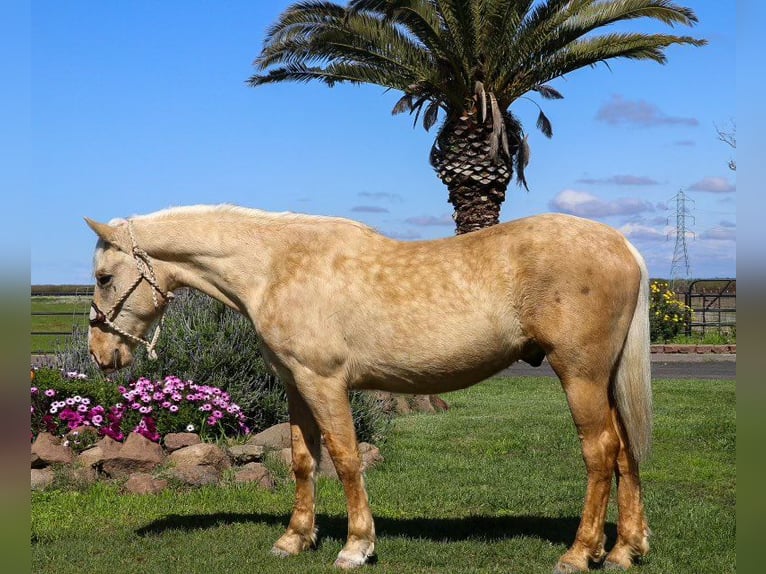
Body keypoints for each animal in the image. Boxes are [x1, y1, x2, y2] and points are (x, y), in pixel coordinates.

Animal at [88, 205, 656, 572]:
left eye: (102, 277)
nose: (100, 353)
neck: (276, 266)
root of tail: (623, 245)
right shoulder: (296, 384)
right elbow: (303, 459)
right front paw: (295, 539)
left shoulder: (324, 382)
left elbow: (344, 458)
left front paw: (355, 547)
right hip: (603, 379)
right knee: (626, 451)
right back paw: (625, 550)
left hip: (580, 375)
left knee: (600, 452)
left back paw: (580, 553)